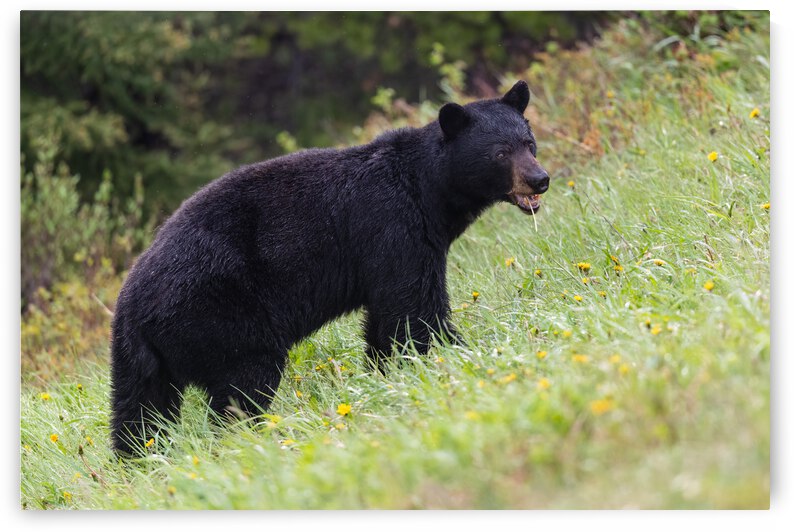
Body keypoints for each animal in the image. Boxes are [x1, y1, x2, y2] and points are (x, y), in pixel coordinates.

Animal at [110, 80, 550, 455]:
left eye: (529, 143)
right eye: (500, 152)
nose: (539, 179)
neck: (429, 190)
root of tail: (133, 305)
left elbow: (387, 319)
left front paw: (387, 372)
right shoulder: (395, 226)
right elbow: (414, 308)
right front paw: (460, 354)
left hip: (141, 357)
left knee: (139, 410)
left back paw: (139, 459)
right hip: (220, 313)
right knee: (244, 383)